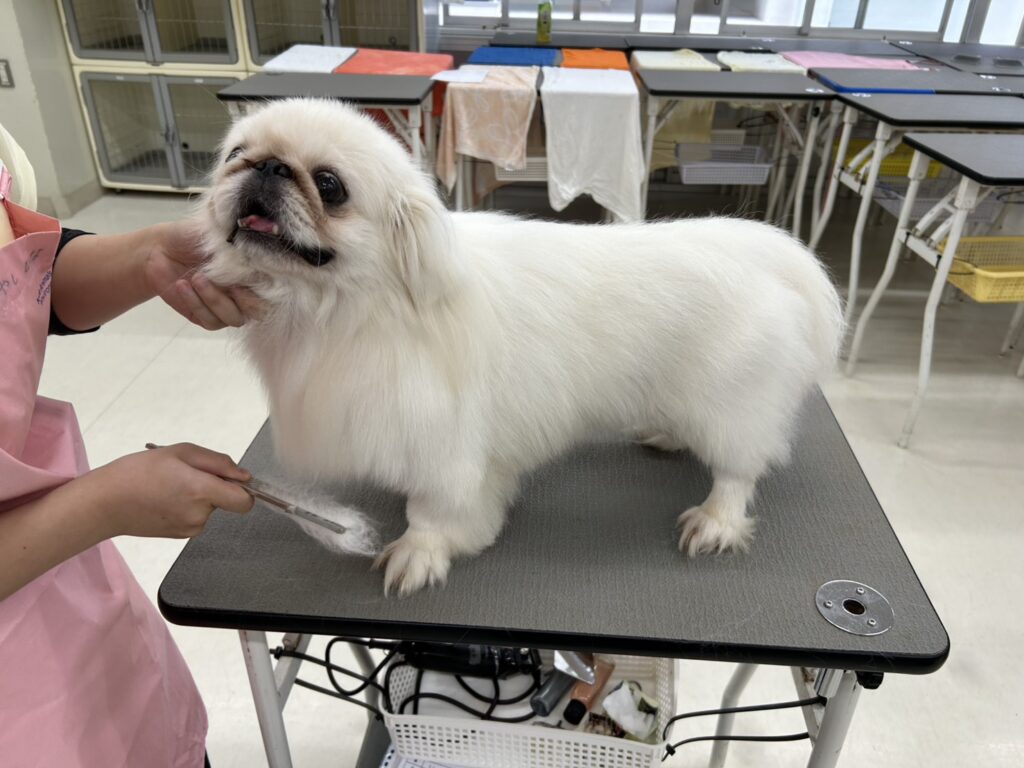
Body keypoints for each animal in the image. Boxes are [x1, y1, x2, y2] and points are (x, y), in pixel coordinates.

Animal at [199, 99, 843, 596]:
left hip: (733, 404)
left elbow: (432, 513)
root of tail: (762, 252)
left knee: (738, 470)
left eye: (330, 186)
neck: (352, 309)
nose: (269, 167)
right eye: (234, 155)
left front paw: (418, 553)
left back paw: (714, 521)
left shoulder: (448, 450)